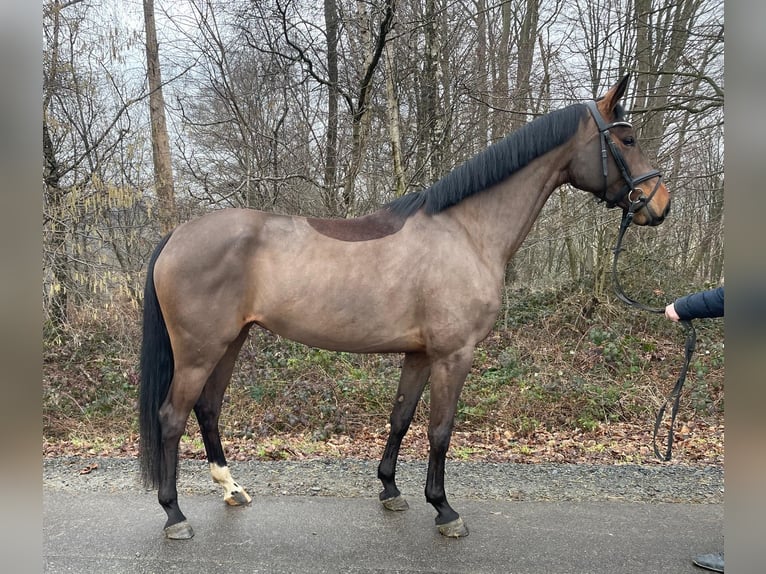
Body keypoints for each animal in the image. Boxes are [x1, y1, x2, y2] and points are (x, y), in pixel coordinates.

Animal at [139, 74, 670, 539]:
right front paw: (445, 510)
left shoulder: (419, 354)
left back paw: (232, 489)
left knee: (208, 409)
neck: (467, 232)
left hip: (231, 341)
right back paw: (174, 515)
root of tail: (176, 236)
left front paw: (391, 489)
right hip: (200, 351)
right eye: (626, 138)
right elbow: (440, 429)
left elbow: (400, 417)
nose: (659, 204)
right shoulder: (454, 354)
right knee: (172, 417)